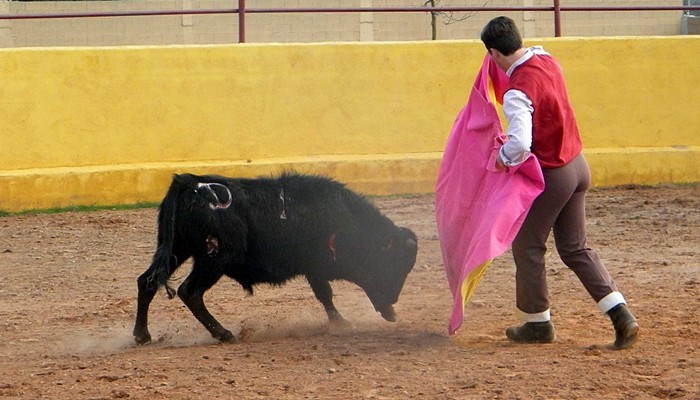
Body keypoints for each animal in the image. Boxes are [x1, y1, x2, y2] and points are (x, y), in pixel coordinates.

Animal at [134, 172, 418, 344]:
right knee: (190, 291)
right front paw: (384, 312)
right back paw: (224, 334)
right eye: (394, 264)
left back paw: (142, 335)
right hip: (215, 258)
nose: (394, 298)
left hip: (178, 249)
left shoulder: (314, 269)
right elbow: (360, 280)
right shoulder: (330, 263)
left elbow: (325, 294)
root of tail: (191, 183)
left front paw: (341, 321)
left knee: (147, 281)